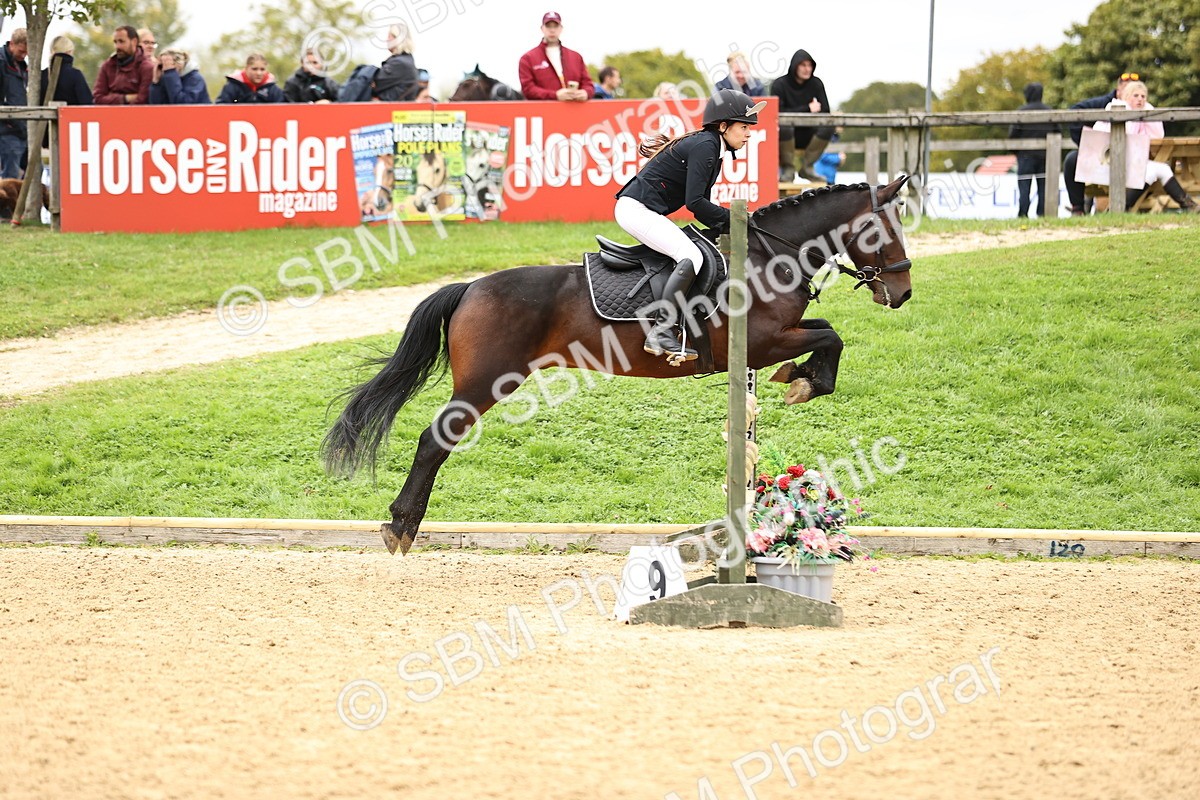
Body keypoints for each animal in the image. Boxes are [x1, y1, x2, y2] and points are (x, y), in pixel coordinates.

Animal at [323, 176, 914, 555]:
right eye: (884, 232)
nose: (904, 293)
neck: (769, 256)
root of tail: (470, 287)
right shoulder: (765, 341)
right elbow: (831, 336)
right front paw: (805, 382)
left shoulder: (772, 340)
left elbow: (827, 334)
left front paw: (799, 379)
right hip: (485, 383)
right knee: (434, 440)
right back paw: (402, 527)